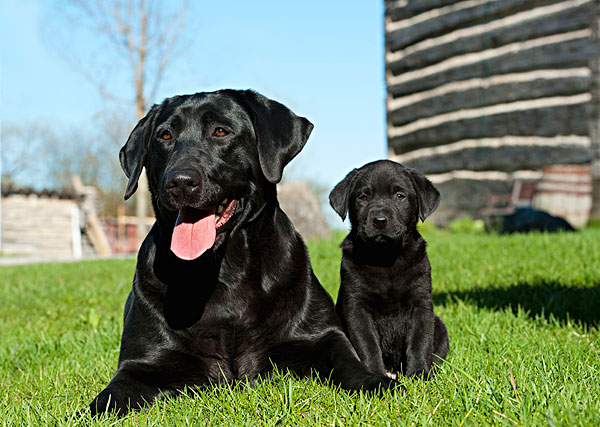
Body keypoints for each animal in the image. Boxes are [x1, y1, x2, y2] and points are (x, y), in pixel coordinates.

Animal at [89, 88, 396, 416]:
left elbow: (348, 362)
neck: (224, 270)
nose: (180, 181)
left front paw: (378, 382)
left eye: (220, 131)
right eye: (165, 135)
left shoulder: (322, 336)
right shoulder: (140, 363)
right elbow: (107, 399)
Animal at [330, 161, 448, 382]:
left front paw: (419, 374)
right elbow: (367, 344)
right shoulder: (356, 307)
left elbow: (420, 340)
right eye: (363, 197)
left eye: (400, 196)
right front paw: (376, 374)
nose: (379, 220)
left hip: (440, 327)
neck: (385, 259)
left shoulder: (420, 303)